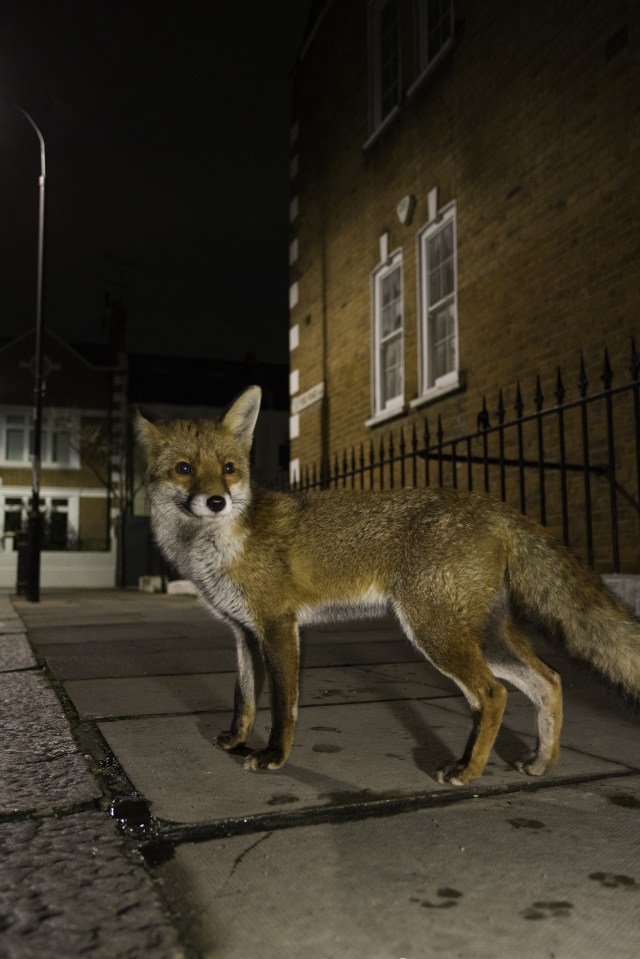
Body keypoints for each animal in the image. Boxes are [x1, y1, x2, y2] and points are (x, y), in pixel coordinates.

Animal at [136, 386, 640, 784]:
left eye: (228, 468)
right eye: (184, 469)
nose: (216, 501)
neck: (217, 546)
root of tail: (491, 504)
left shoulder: (278, 626)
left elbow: (283, 704)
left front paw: (274, 756)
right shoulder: (242, 631)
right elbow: (243, 697)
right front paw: (236, 739)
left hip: (435, 631)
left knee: (493, 694)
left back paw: (468, 770)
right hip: (485, 637)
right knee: (549, 680)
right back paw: (542, 761)